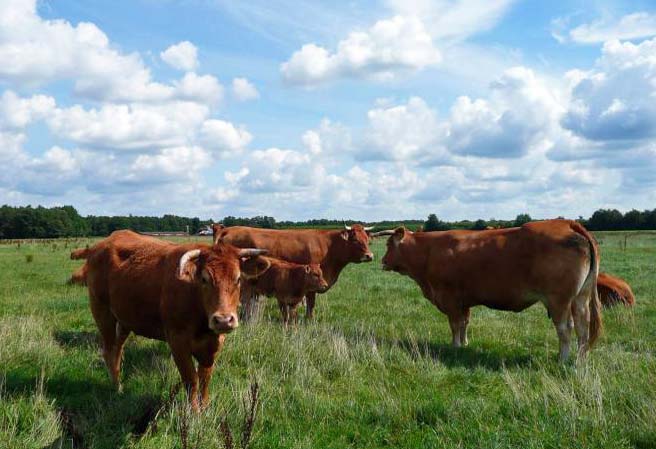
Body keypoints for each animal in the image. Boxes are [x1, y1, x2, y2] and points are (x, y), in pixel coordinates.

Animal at [74, 229, 272, 408]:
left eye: (238, 279)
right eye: (204, 279)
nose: (223, 320)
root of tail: (101, 245)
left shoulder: (214, 343)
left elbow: (205, 377)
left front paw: (205, 408)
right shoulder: (177, 340)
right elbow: (191, 379)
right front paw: (194, 413)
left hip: (124, 320)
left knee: (117, 350)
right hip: (102, 312)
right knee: (109, 350)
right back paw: (117, 388)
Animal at [214, 224, 374, 318]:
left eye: (367, 239)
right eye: (355, 240)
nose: (370, 256)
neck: (330, 247)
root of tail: (229, 229)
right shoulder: (311, 284)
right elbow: (311, 304)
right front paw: (309, 321)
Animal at [376, 220, 604, 360]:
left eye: (388, 244)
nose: (382, 261)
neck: (429, 251)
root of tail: (566, 223)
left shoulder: (450, 299)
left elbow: (455, 325)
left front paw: (455, 346)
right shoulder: (464, 301)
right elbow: (465, 323)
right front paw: (465, 343)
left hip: (559, 300)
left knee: (565, 328)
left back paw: (562, 359)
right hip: (580, 298)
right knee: (583, 327)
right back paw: (580, 359)